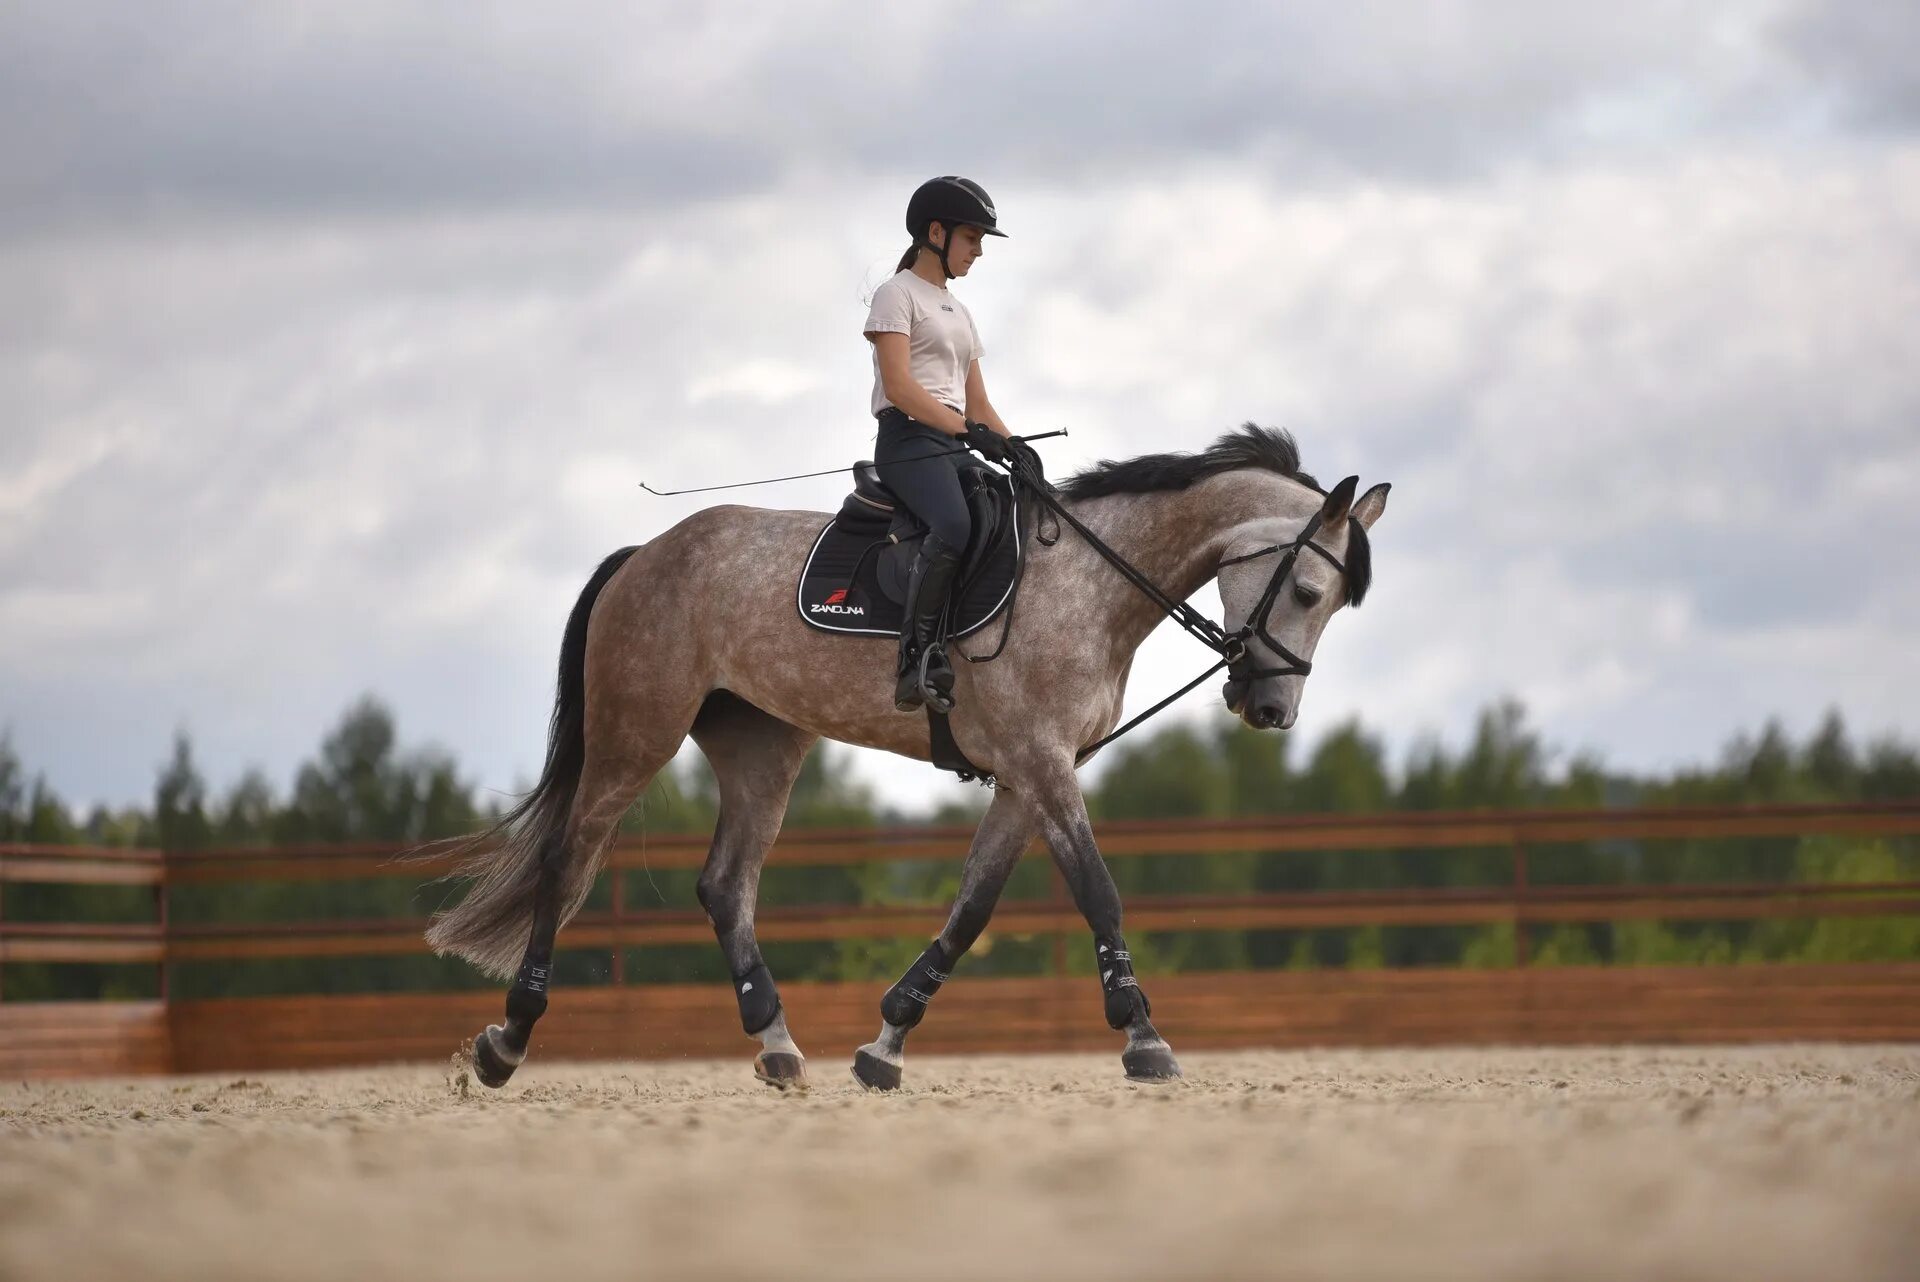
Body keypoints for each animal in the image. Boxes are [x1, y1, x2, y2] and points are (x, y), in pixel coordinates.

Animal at [425, 424, 1388, 1090]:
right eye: (1308, 591)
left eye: (1330, 603)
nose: (1270, 710)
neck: (1091, 585)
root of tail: (646, 556)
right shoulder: (1042, 763)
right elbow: (1097, 892)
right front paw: (1143, 1037)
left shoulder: (1026, 777)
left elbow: (972, 908)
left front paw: (886, 1041)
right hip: (638, 732)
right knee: (569, 858)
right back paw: (508, 1040)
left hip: (761, 747)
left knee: (726, 885)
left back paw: (778, 1044)